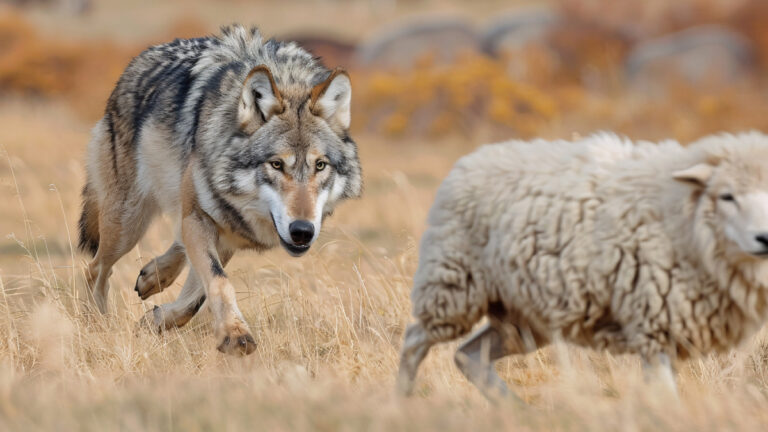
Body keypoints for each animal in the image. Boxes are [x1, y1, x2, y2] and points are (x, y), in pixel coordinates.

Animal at [78, 25, 362, 355]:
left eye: (320, 165)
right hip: (127, 224)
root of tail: (137, 62)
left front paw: (155, 320)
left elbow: (196, 298)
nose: (302, 231)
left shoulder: (225, 236)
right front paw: (235, 335)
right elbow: (218, 282)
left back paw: (153, 277)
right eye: (276, 164)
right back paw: (96, 324)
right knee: (96, 268)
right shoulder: (202, 219)